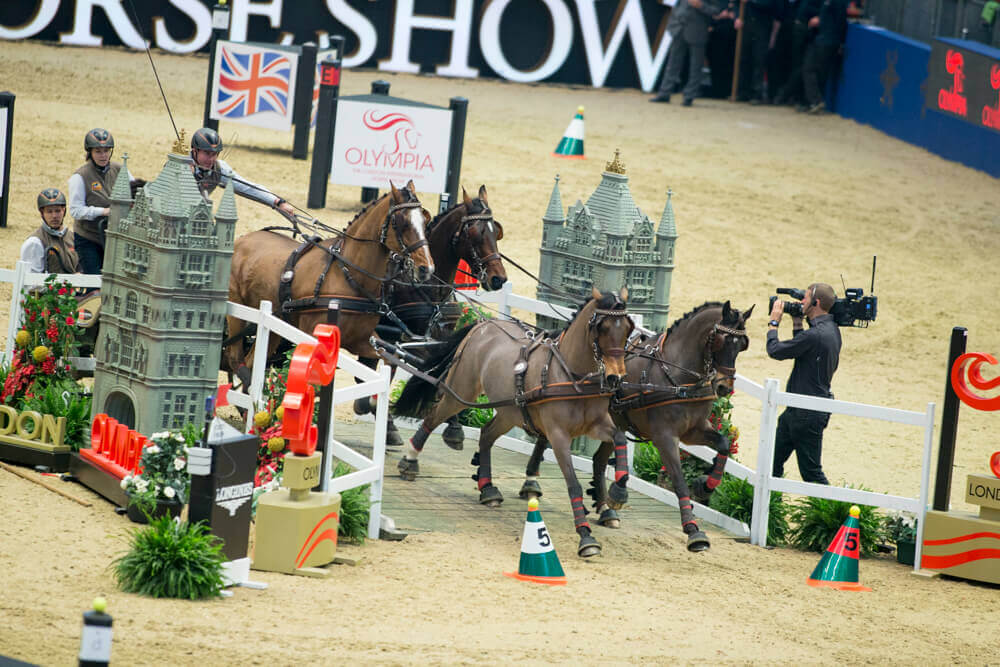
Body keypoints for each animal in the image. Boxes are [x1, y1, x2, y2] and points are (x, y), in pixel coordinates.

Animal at [227, 181, 434, 380]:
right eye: (402, 222)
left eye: (425, 220)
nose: (427, 268)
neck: (348, 276)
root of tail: (242, 239)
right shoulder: (312, 336)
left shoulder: (360, 340)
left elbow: (389, 360)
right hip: (237, 314)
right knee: (236, 358)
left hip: (274, 328)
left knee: (252, 360)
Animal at [352, 187, 508, 448]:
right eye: (475, 233)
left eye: (496, 232)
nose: (498, 278)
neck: (428, 287)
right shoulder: (410, 341)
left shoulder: (440, 337)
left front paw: (453, 424)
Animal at [392, 288, 632, 560]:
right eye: (602, 327)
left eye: (627, 329)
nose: (616, 377)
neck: (573, 377)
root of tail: (483, 325)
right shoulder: (558, 435)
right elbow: (573, 485)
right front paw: (586, 536)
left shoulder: (597, 425)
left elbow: (619, 438)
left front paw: (618, 491)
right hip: (460, 392)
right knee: (433, 417)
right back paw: (410, 460)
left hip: (509, 413)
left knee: (486, 434)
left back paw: (487, 488)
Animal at [520, 302, 748, 552]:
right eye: (721, 340)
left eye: (742, 345)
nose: (724, 386)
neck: (676, 376)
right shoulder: (664, 436)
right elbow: (679, 481)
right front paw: (692, 529)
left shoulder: (694, 430)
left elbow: (724, 443)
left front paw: (705, 486)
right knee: (549, 438)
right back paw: (532, 481)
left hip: (614, 421)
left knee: (598, 459)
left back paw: (605, 507)